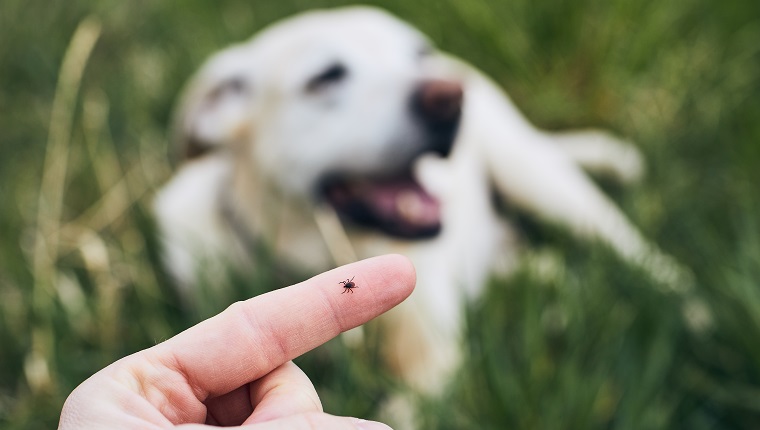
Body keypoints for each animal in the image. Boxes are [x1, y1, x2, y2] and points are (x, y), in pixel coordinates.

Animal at [153, 5, 688, 396]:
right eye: (326, 77)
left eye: (418, 54)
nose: (449, 97)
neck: (317, 252)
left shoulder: (433, 364)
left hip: (539, 179)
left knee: (638, 254)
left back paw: (690, 309)